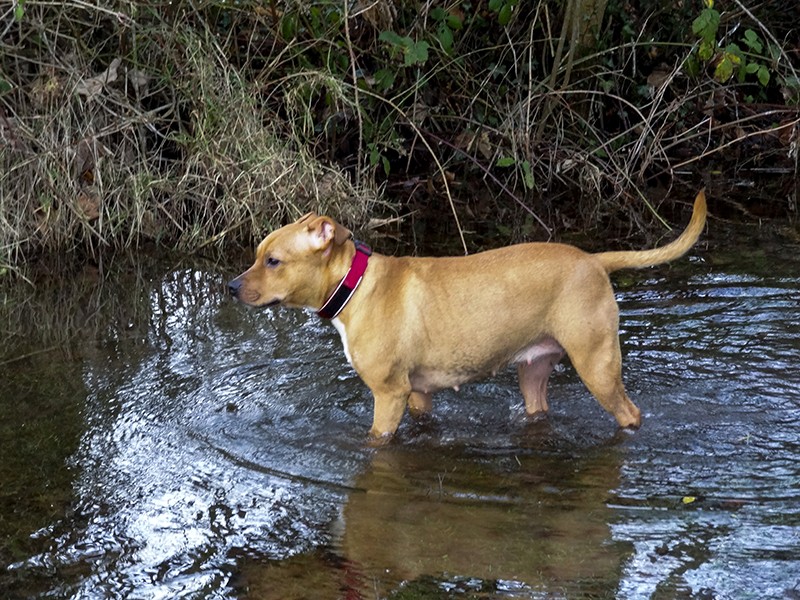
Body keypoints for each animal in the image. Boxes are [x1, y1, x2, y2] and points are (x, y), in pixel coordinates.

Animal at [230, 190, 708, 438]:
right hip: (534, 369)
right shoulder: (417, 394)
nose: (231, 287)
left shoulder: (388, 395)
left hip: (598, 365)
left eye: (273, 261)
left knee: (629, 413)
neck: (356, 283)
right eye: (256, 255)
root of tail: (594, 260)